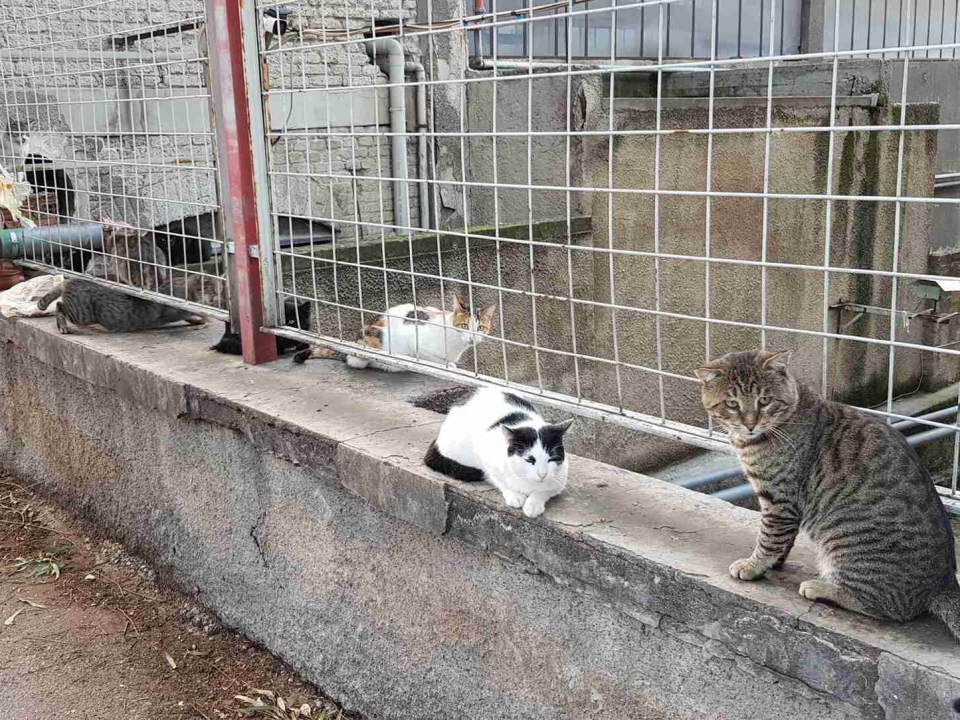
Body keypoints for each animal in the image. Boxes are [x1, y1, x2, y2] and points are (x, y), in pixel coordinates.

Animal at [292, 294, 496, 368]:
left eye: (480, 328)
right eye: (464, 326)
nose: (472, 339)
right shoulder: (415, 342)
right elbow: (429, 357)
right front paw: (448, 365)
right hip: (372, 339)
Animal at [426, 388, 572, 516]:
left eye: (551, 459)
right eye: (530, 459)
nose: (542, 475)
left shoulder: (559, 480)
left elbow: (544, 491)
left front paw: (533, 504)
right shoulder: (486, 458)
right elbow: (499, 480)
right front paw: (514, 495)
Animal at [696, 352, 960, 640]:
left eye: (764, 400)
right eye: (732, 404)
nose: (750, 424)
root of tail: (945, 583)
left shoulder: (779, 500)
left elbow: (768, 539)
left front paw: (754, 566)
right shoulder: (785, 506)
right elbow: (782, 541)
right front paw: (773, 564)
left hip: (847, 542)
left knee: (885, 607)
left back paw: (822, 588)